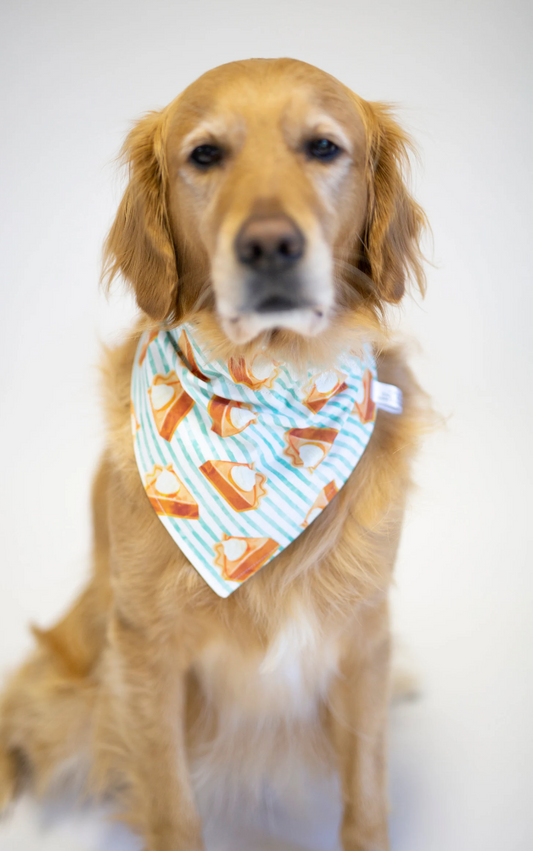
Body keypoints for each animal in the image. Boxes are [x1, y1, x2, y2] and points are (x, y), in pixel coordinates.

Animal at [0, 60, 426, 851]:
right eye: (204, 155)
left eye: (323, 147)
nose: (269, 246)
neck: (272, 385)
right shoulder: (145, 652)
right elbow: (172, 806)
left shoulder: (362, 636)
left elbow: (366, 796)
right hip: (78, 682)